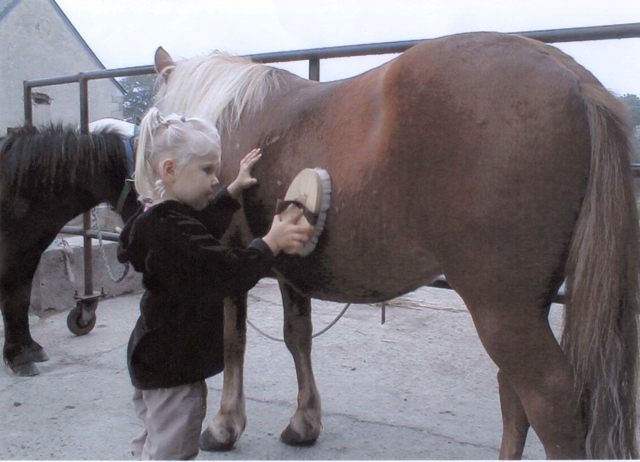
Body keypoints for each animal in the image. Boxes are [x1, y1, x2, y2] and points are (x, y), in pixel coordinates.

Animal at [0, 123, 139, 376]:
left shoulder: (29, 249)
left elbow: (21, 296)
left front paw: (30, 349)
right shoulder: (11, 249)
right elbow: (11, 295)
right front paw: (18, 357)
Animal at [153, 31, 639, 459]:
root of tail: (574, 78)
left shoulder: (231, 262)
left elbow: (233, 341)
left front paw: (224, 426)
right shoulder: (288, 266)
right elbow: (298, 337)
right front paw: (304, 422)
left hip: (502, 308)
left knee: (550, 398)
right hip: (525, 306)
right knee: (513, 392)